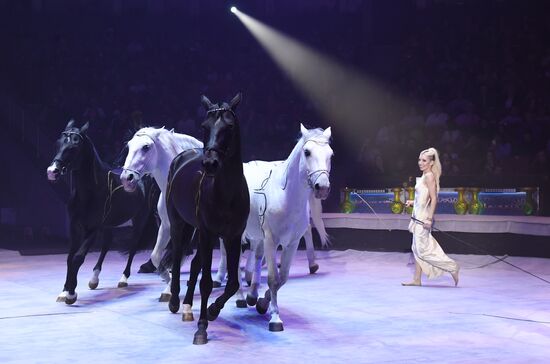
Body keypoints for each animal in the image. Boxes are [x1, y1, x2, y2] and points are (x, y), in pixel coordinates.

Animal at [47, 121, 160, 306]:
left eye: (74, 147)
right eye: (58, 143)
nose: (52, 171)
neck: (91, 190)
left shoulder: (92, 228)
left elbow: (78, 257)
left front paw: (71, 294)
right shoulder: (75, 226)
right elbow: (70, 257)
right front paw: (64, 291)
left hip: (139, 219)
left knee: (133, 247)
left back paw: (123, 279)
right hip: (109, 224)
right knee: (107, 244)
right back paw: (94, 279)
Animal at [121, 126, 203, 300]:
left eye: (146, 147)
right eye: (129, 146)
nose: (126, 179)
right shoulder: (167, 225)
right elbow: (156, 256)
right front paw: (168, 284)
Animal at [165, 94, 249, 344]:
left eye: (229, 126)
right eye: (204, 127)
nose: (210, 163)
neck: (226, 194)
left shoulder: (232, 237)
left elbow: (232, 282)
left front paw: (212, 311)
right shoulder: (207, 233)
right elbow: (206, 283)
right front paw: (202, 328)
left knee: (194, 265)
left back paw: (187, 306)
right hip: (181, 225)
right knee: (177, 258)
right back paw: (175, 302)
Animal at [247, 123, 336, 332]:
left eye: (331, 154)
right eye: (307, 152)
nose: (322, 187)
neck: (285, 195)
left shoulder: (292, 243)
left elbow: (283, 277)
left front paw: (263, 304)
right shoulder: (271, 241)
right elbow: (273, 278)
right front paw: (275, 319)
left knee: (255, 258)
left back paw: (251, 295)